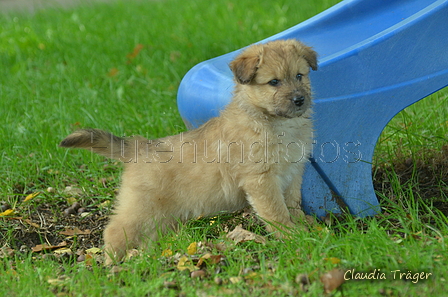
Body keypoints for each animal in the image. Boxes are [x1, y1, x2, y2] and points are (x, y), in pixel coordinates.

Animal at [60, 38, 318, 262]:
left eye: (299, 76)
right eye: (274, 82)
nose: (299, 99)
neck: (273, 122)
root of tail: (139, 146)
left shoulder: (293, 174)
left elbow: (292, 204)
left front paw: (305, 225)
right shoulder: (261, 180)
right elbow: (276, 212)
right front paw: (292, 235)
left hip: (161, 216)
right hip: (140, 208)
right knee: (115, 230)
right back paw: (112, 263)